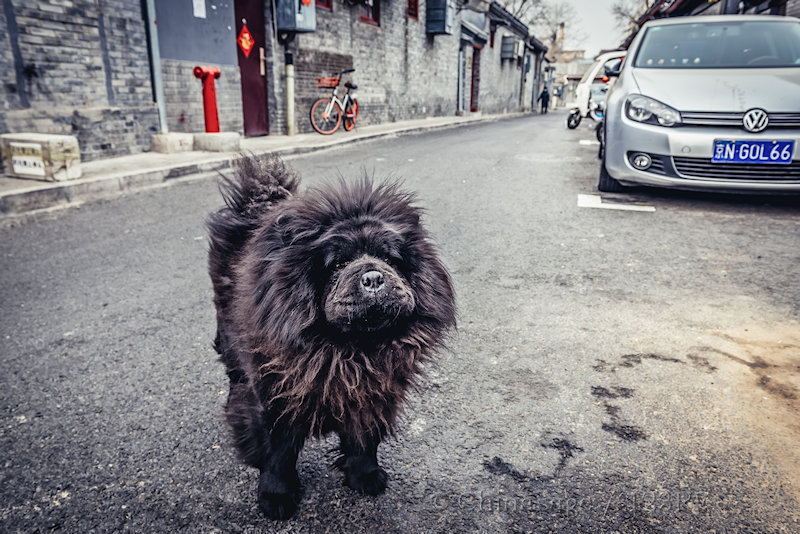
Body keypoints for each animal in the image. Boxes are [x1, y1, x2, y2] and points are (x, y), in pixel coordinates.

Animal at [206, 156, 456, 524]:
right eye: (337, 264)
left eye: (390, 260)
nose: (373, 276)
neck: (350, 350)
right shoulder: (276, 396)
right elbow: (278, 454)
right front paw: (276, 498)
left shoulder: (373, 393)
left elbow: (365, 440)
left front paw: (365, 477)